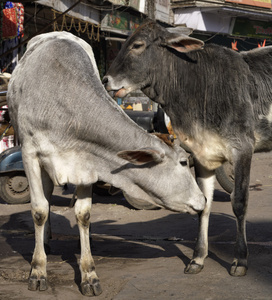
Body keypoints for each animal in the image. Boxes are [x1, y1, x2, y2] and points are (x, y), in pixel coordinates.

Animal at [6, 31, 206, 296]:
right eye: (183, 162)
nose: (203, 201)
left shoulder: (86, 162)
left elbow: (84, 215)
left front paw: (89, 274)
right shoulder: (29, 153)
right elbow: (39, 210)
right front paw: (38, 270)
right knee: (44, 200)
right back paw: (45, 242)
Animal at [103, 18, 272, 276]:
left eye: (137, 45)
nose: (105, 80)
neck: (200, 85)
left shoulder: (243, 148)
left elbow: (239, 202)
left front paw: (240, 260)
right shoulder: (202, 154)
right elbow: (203, 204)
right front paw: (198, 258)